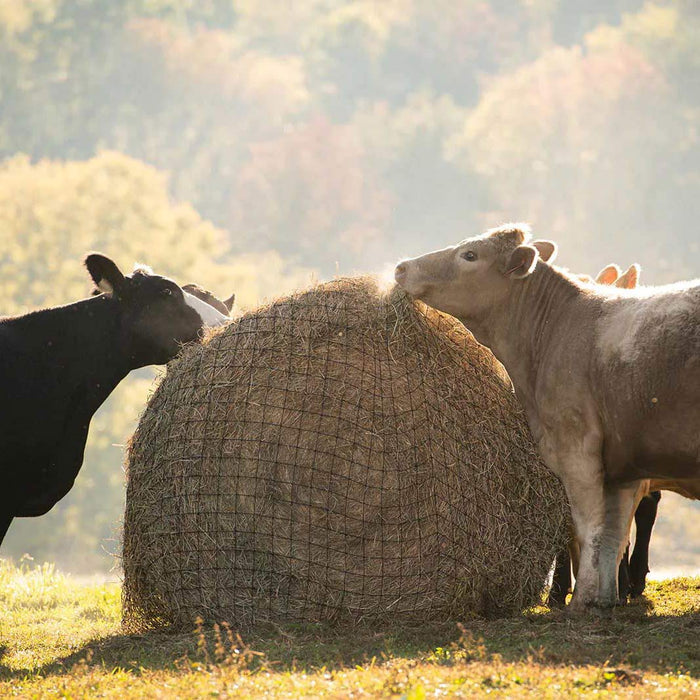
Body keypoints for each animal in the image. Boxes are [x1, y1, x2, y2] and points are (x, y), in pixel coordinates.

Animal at [396, 224, 696, 612]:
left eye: (470, 255)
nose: (401, 267)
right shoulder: (623, 468)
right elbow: (612, 534)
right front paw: (603, 598)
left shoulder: (576, 449)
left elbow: (589, 528)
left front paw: (582, 600)